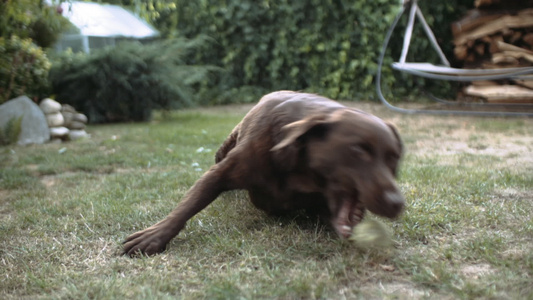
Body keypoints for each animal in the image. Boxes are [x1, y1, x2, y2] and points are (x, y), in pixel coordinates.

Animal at [121, 91, 404, 255]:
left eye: (394, 158)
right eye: (357, 149)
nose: (397, 203)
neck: (299, 168)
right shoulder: (221, 172)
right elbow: (188, 205)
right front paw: (155, 236)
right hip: (223, 148)